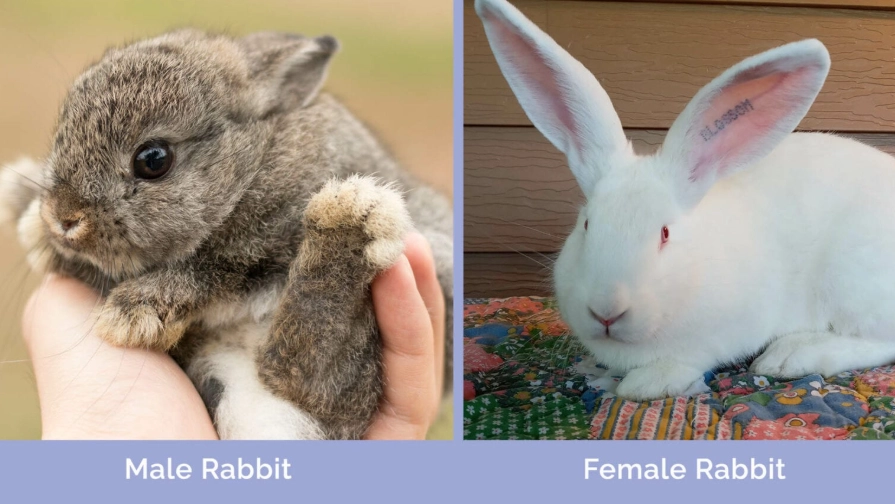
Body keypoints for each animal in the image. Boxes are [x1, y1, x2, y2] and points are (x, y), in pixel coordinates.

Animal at [0, 28, 453, 438]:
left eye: (153, 159)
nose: (62, 218)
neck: (252, 159)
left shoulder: (260, 243)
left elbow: (209, 270)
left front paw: (130, 313)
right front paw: (25, 207)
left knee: (308, 376)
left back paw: (351, 218)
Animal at [476, 0, 895, 400]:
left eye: (664, 234)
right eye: (587, 225)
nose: (606, 311)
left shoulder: (722, 334)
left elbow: (687, 360)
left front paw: (646, 384)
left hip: (854, 280)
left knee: (879, 341)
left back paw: (790, 356)